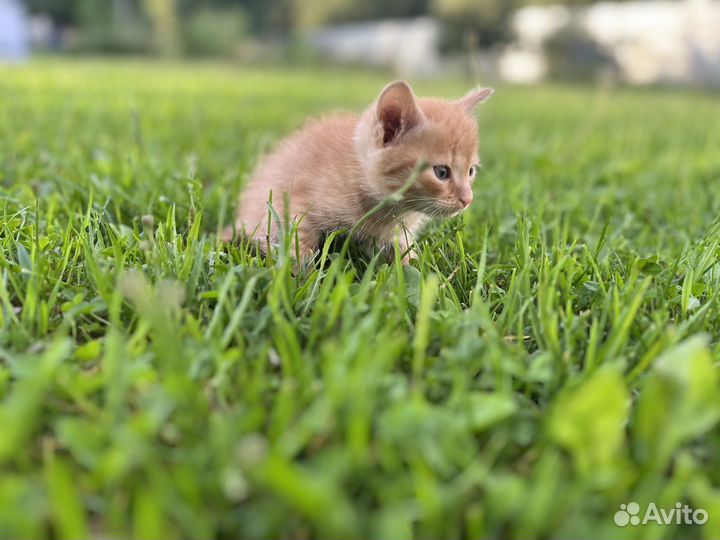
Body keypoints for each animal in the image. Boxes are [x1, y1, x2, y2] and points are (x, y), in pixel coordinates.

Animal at [224, 80, 496, 264]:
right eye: (441, 172)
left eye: (471, 171)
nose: (467, 199)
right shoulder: (292, 206)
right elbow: (298, 249)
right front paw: (302, 281)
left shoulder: (396, 235)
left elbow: (405, 256)